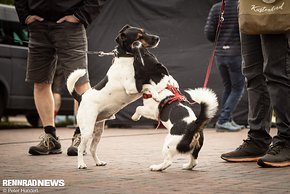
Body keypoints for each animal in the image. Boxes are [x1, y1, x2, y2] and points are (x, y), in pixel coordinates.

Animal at [67, 25, 172, 169]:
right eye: (139, 36)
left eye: (144, 31)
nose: (157, 38)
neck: (127, 59)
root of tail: (81, 97)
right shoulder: (132, 87)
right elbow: (148, 86)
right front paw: (156, 95)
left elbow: (149, 84)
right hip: (87, 129)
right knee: (80, 148)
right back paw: (81, 164)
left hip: (98, 130)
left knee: (92, 148)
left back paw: (98, 162)